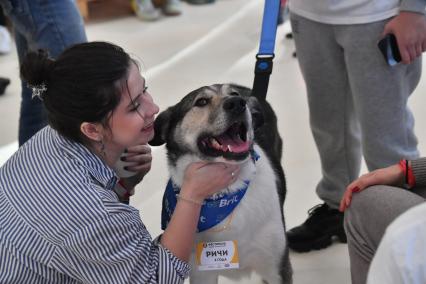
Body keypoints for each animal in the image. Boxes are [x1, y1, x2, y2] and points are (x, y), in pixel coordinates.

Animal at [150, 83, 292, 282]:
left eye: (234, 94)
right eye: (201, 101)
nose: (238, 103)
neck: (225, 195)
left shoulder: (277, 267)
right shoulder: (201, 273)